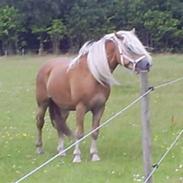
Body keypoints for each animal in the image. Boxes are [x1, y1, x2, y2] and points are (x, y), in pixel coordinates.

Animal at [35, 29, 152, 162]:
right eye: (129, 47)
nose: (147, 64)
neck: (92, 75)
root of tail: (47, 66)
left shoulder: (99, 108)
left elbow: (95, 132)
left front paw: (95, 155)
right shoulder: (80, 107)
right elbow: (79, 133)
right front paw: (77, 156)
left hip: (62, 107)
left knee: (60, 124)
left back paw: (61, 151)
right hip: (43, 103)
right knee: (40, 122)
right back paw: (39, 148)